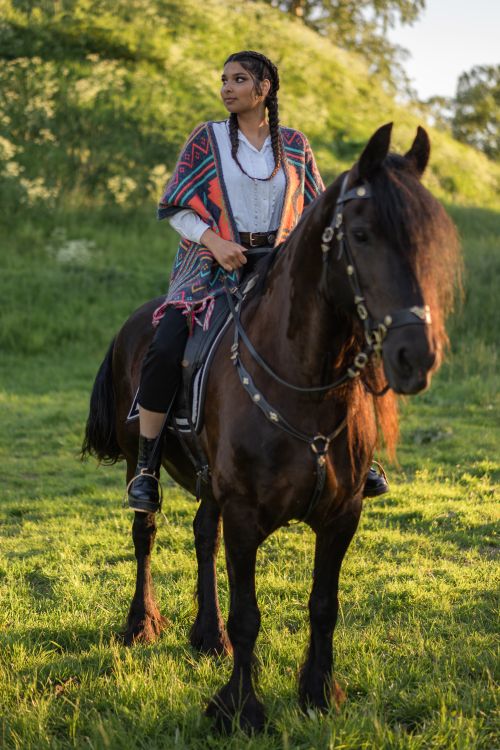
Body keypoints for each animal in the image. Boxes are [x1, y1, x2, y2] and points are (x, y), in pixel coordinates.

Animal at [82, 123, 460, 732]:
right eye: (361, 234)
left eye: (427, 241)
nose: (415, 356)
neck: (303, 386)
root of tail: (135, 322)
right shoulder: (244, 514)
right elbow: (248, 615)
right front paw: (239, 708)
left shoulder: (342, 514)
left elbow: (323, 607)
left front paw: (319, 692)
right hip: (144, 457)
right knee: (146, 531)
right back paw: (141, 624)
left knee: (201, 534)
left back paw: (205, 635)